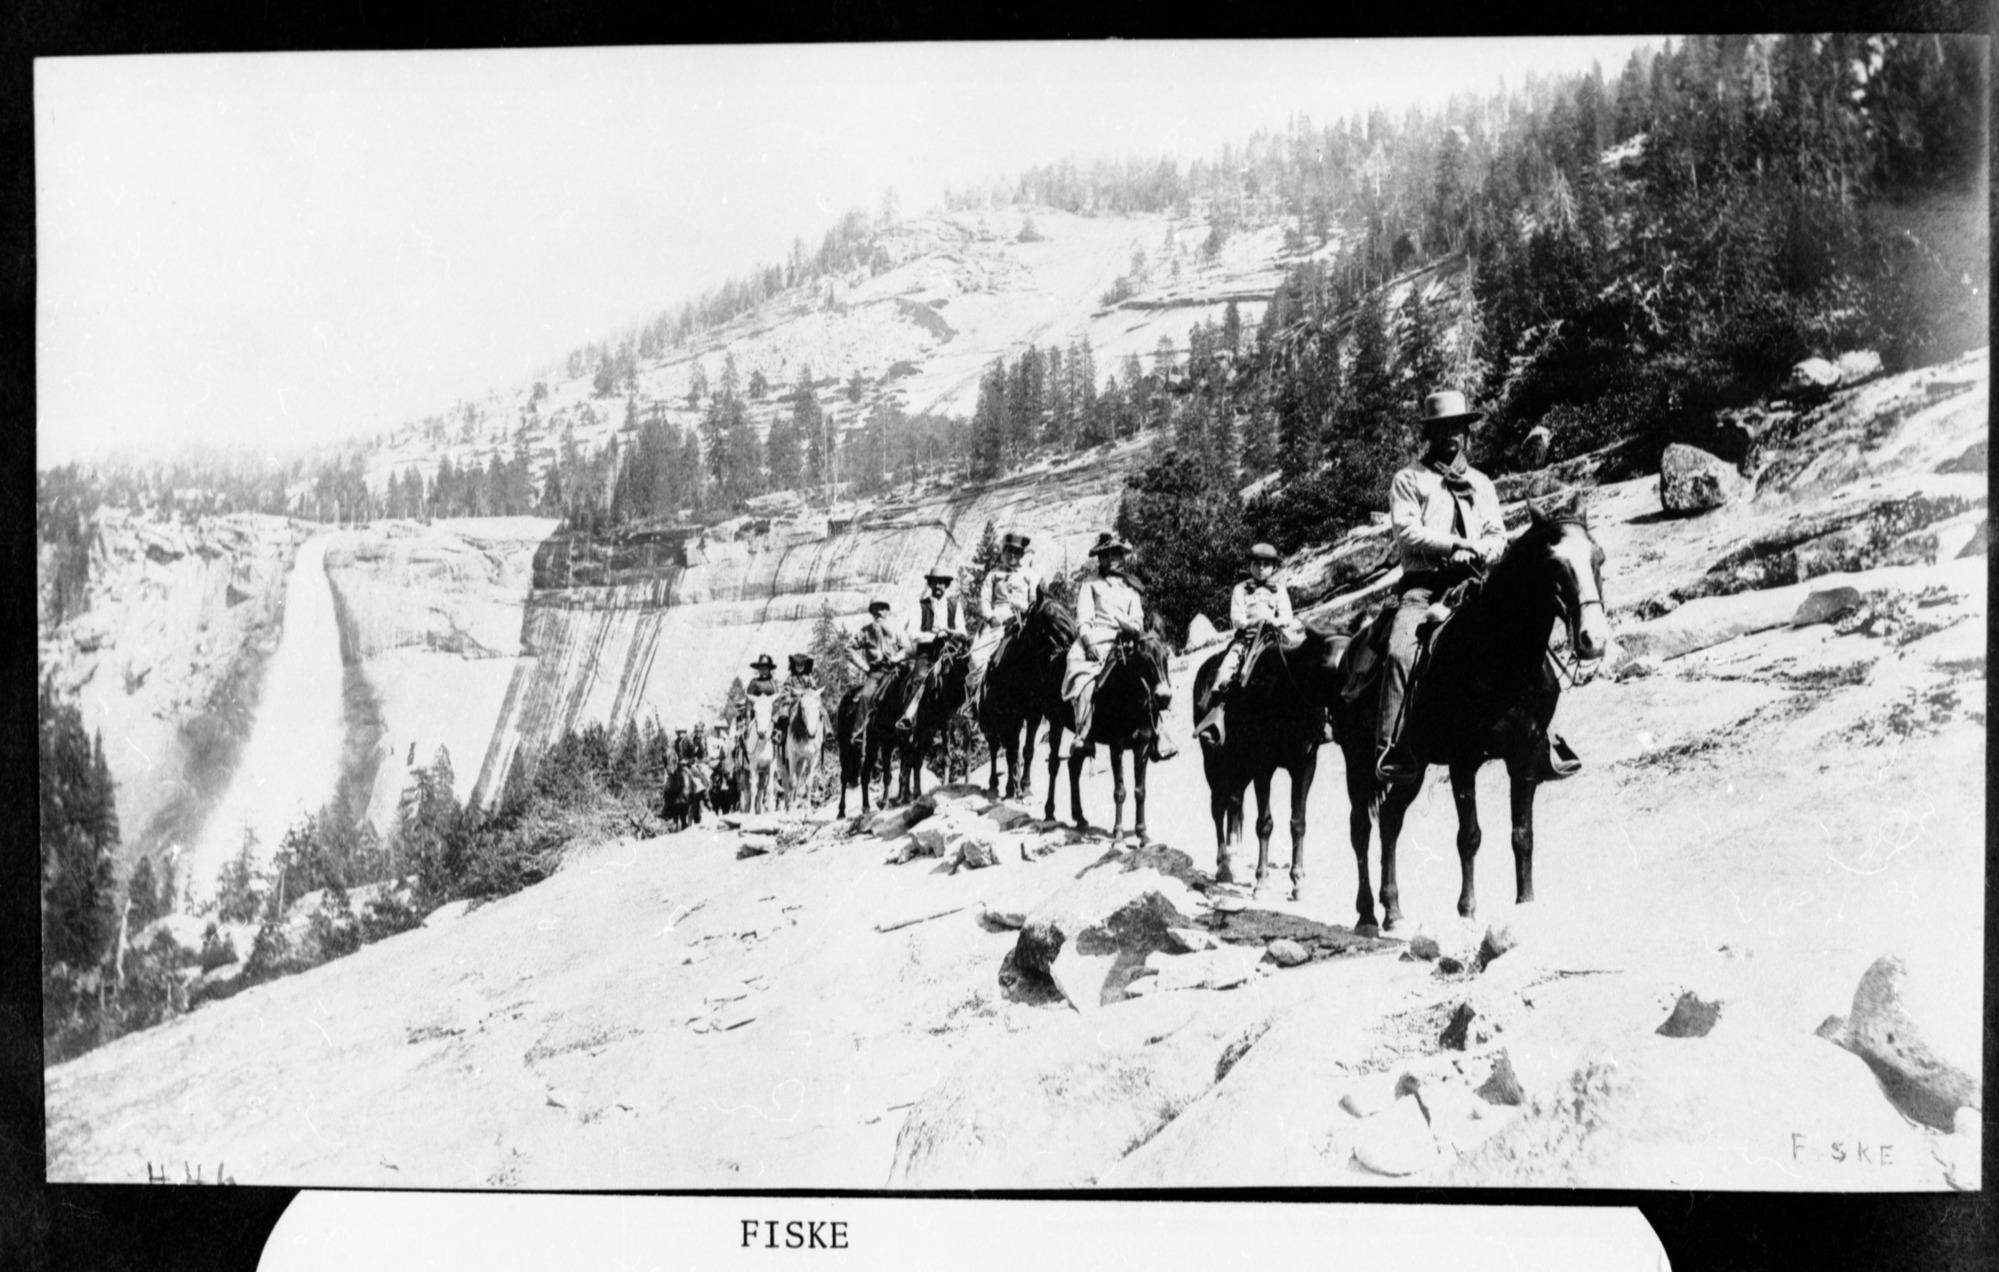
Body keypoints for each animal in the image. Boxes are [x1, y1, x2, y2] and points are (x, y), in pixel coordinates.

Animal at [771, 684, 819, 816]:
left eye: (818, 707)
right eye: (802, 708)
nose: (812, 733)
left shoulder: (812, 758)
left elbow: (808, 783)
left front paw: (808, 810)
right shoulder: (793, 756)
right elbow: (791, 782)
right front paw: (791, 810)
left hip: (800, 764)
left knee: (797, 782)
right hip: (782, 764)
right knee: (786, 783)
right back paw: (787, 806)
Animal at [971, 592, 1079, 816]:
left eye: (1065, 610)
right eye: (1050, 617)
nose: (1075, 637)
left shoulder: (1032, 715)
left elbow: (1026, 751)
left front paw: (1025, 788)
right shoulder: (1006, 717)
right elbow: (1011, 752)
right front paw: (1014, 787)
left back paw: (1010, 787)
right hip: (991, 721)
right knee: (995, 748)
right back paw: (995, 785)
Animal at [1063, 628, 1167, 844]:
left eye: (1166, 657)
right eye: (1145, 660)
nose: (1164, 698)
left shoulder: (1142, 746)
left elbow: (1140, 791)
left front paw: (1142, 833)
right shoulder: (1116, 747)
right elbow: (1120, 791)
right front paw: (1118, 832)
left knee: (1073, 766)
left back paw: (1080, 818)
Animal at [1191, 624, 1351, 900]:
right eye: (1332, 667)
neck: (1284, 693)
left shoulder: (1305, 765)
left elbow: (1298, 823)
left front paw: (1298, 881)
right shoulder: (1262, 766)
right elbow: (1264, 824)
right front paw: (1262, 881)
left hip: (1240, 766)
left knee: (1234, 804)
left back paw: (1234, 854)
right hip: (1214, 762)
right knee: (1218, 807)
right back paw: (1224, 865)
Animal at [1327, 504, 1607, 936]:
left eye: (1599, 558)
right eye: (1553, 563)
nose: (1594, 640)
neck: (1500, 655)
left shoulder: (1524, 755)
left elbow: (1522, 834)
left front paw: (1525, 902)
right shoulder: (1463, 761)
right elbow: (1469, 836)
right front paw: (1467, 910)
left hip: (1412, 768)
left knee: (1390, 821)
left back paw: (1393, 910)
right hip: (1357, 762)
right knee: (1361, 828)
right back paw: (1367, 915)